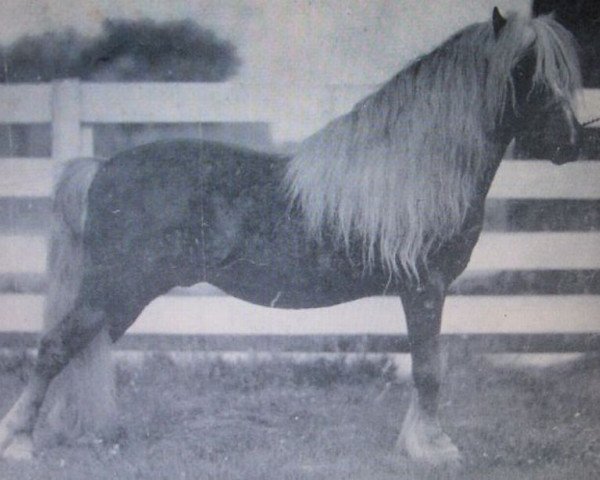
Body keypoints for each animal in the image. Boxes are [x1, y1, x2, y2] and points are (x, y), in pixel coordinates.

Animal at [0, 7, 580, 468]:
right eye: (526, 69)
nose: (572, 143)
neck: (415, 170)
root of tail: (102, 167)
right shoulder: (425, 288)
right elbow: (428, 369)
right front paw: (433, 449)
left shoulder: (424, 291)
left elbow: (425, 367)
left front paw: (417, 443)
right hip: (113, 289)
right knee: (54, 347)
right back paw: (21, 441)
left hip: (120, 297)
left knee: (78, 350)